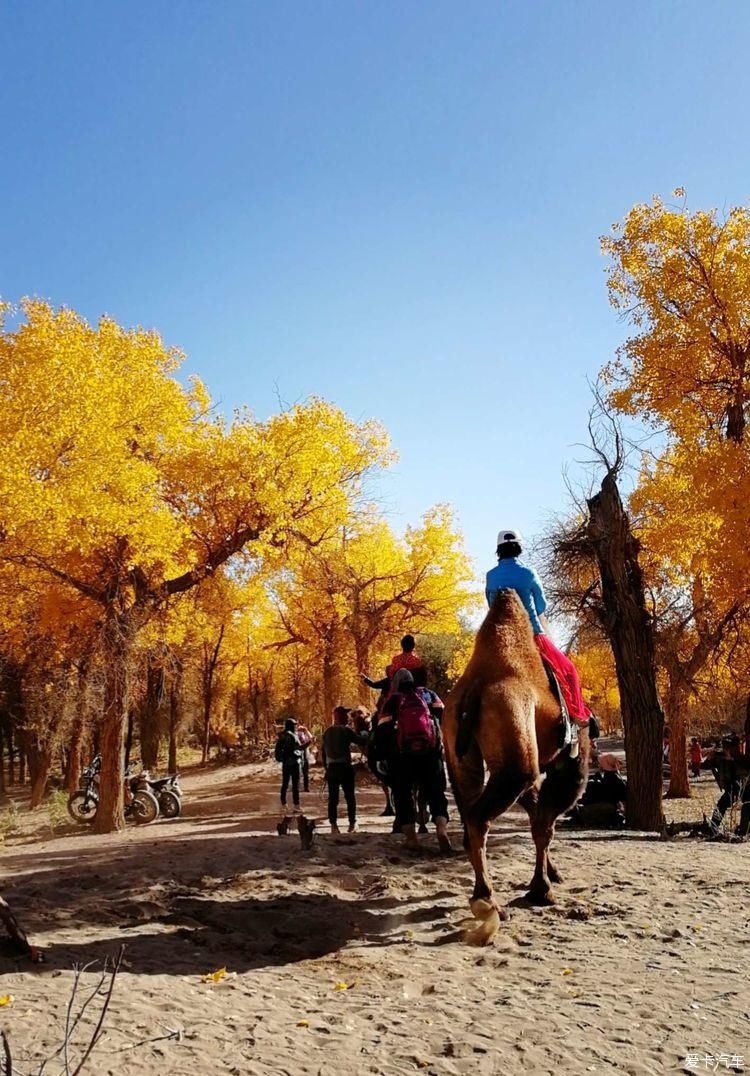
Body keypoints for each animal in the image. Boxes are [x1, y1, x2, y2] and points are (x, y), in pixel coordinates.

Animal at [441, 589, 589, 942]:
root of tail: (474, 688)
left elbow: (538, 814)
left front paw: (549, 876)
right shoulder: (567, 765)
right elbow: (544, 824)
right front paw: (542, 890)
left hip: (461, 757)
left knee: (470, 814)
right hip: (516, 755)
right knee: (481, 819)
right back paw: (487, 904)